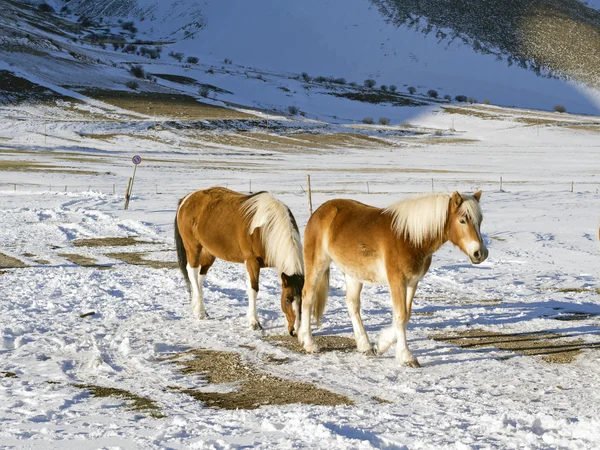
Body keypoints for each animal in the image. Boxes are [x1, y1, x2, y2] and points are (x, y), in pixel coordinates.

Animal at [173, 186, 304, 334]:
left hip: (209, 252)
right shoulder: (252, 262)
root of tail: (186, 199)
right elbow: (253, 289)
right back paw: (200, 312)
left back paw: (198, 308)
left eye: (302, 300)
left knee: (200, 277)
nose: (295, 330)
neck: (265, 229)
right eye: (287, 300)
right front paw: (254, 322)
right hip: (193, 247)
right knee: (192, 272)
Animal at [298, 192, 488, 368]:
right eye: (462, 221)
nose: (480, 253)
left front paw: (380, 345)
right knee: (308, 297)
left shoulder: (412, 282)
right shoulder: (397, 281)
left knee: (352, 305)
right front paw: (407, 357)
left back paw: (365, 345)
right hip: (317, 264)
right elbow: (401, 316)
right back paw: (309, 342)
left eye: (480, 220)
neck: (409, 237)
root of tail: (320, 212)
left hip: (353, 274)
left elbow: (406, 315)